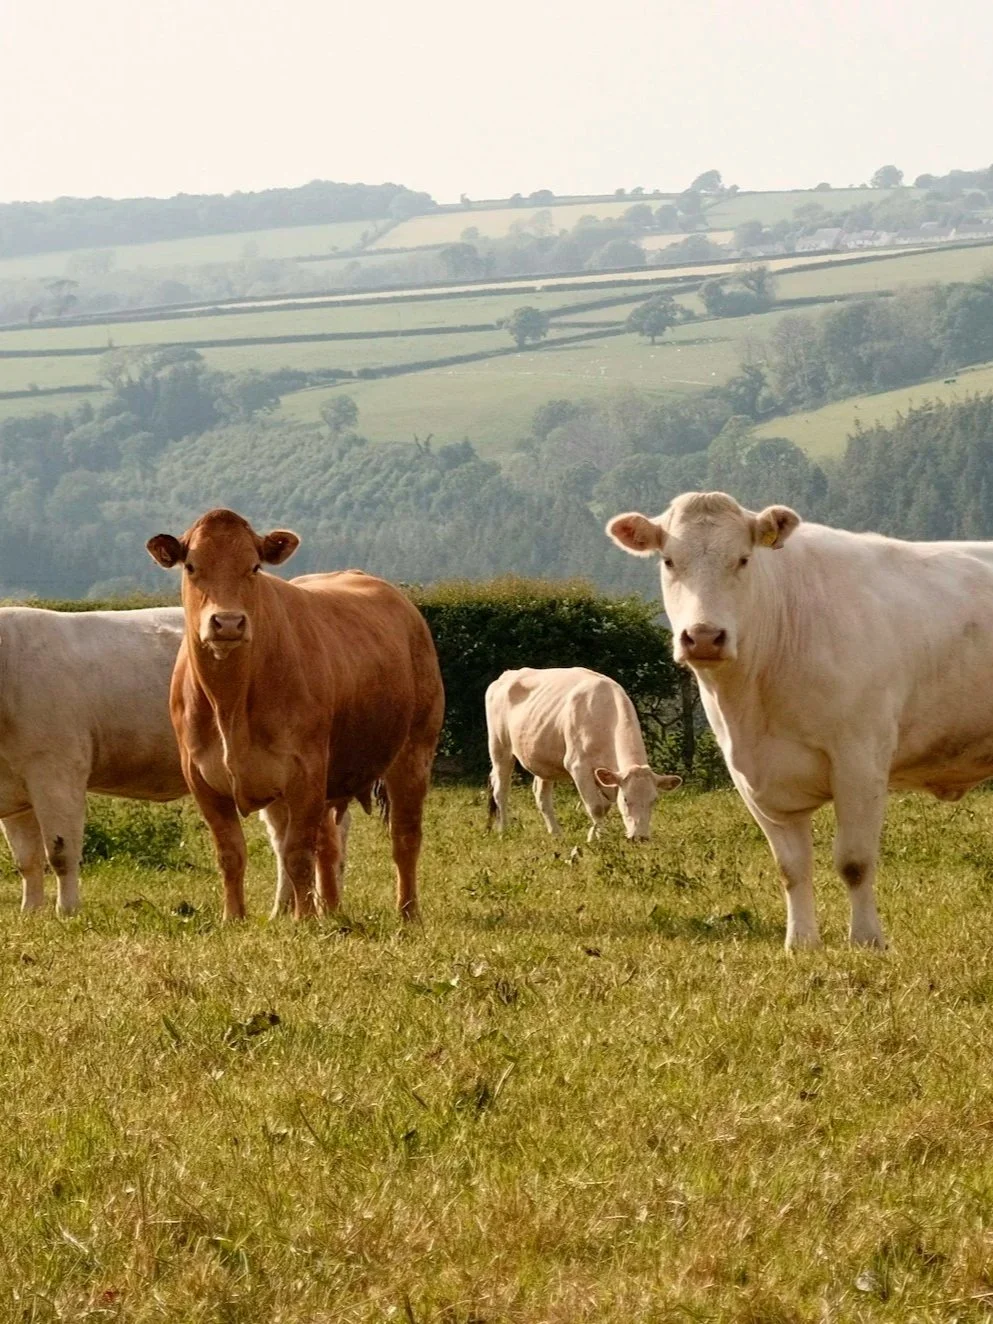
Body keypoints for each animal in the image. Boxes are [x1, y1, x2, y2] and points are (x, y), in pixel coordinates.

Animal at [0, 606, 187, 914]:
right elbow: (27, 861)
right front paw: (30, 912)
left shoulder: (58, 772)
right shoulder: (14, 785)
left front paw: (67, 911)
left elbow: (61, 854)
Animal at [146, 508, 444, 922]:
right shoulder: (201, 778)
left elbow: (298, 854)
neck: (230, 704)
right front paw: (234, 917)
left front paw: (304, 921)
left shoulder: (306, 773)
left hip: (414, 751)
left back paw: (407, 912)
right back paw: (319, 910)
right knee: (326, 845)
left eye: (254, 567)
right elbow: (232, 853)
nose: (227, 622)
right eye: (191, 567)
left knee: (404, 836)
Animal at [486, 667, 681, 843]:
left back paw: (556, 834)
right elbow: (596, 807)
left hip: (543, 757)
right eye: (625, 799)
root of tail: (507, 675)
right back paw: (504, 831)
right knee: (500, 790)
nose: (640, 838)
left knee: (542, 797)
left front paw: (596, 835)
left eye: (654, 800)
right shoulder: (578, 766)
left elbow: (604, 806)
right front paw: (598, 839)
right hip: (500, 748)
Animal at [607, 490, 993, 950]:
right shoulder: (752, 776)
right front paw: (801, 942)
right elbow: (791, 867)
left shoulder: (860, 760)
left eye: (743, 559)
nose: (703, 637)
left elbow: (854, 862)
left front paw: (866, 941)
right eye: (668, 561)